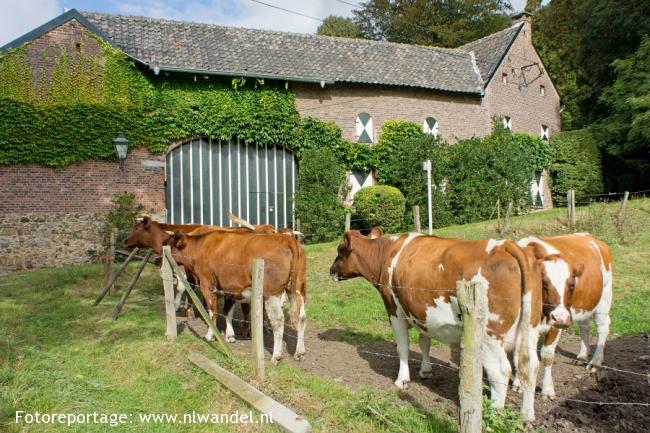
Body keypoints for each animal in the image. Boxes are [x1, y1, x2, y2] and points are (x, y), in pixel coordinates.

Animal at [165, 228, 306, 362]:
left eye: (169, 244)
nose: (161, 257)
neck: (201, 246)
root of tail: (287, 239)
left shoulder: (207, 284)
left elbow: (213, 312)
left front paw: (210, 335)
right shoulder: (230, 288)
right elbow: (228, 311)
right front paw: (230, 335)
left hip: (271, 293)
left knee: (278, 320)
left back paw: (276, 356)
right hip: (298, 289)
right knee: (302, 317)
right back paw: (299, 353)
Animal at [330, 228, 540, 420]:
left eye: (340, 250)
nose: (331, 270)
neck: (388, 254)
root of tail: (504, 245)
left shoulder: (394, 310)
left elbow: (403, 347)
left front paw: (402, 380)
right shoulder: (421, 312)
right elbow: (425, 342)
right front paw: (425, 370)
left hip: (490, 335)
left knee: (501, 371)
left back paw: (494, 411)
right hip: (531, 329)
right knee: (530, 366)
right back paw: (527, 415)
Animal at [512, 233, 612, 398]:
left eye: (571, 285)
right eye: (543, 283)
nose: (561, 318)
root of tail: (589, 236)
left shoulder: (555, 326)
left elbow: (547, 356)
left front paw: (547, 389)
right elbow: (519, 354)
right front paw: (518, 383)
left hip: (603, 298)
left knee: (602, 327)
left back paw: (595, 362)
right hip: (582, 304)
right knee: (584, 326)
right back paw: (582, 355)